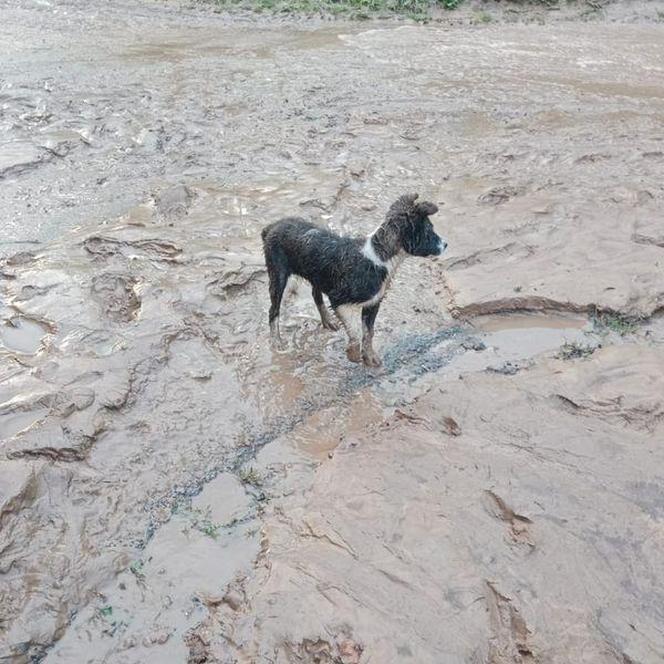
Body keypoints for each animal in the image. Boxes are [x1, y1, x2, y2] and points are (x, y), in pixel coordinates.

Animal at [260, 192, 446, 368]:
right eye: (428, 231)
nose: (446, 244)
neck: (379, 257)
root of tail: (271, 226)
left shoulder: (373, 303)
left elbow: (369, 332)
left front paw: (369, 357)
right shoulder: (338, 299)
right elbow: (355, 331)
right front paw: (353, 354)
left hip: (317, 273)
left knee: (315, 294)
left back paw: (327, 321)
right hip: (278, 273)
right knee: (273, 310)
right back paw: (277, 342)